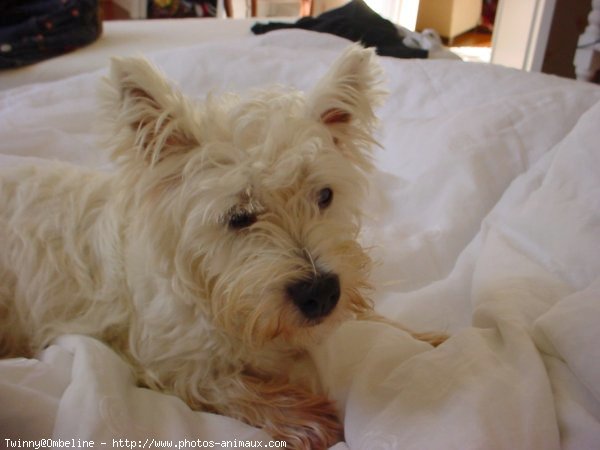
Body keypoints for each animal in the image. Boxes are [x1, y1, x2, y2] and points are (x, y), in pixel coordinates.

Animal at [0, 44, 440, 446]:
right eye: (239, 216)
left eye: (325, 195)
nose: (320, 294)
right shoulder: (165, 358)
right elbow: (228, 384)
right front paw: (304, 419)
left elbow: (370, 320)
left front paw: (426, 341)